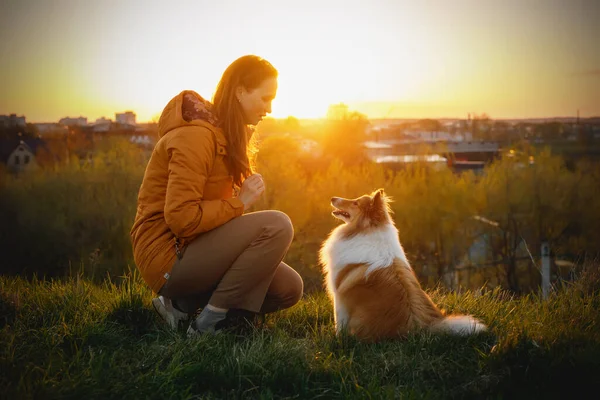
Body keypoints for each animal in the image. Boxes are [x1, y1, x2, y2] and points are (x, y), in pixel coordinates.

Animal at [322, 189, 486, 342]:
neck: (367, 230)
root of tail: (419, 328)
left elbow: (339, 324)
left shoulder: (339, 296)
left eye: (356, 203)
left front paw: (337, 339)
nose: (332, 198)